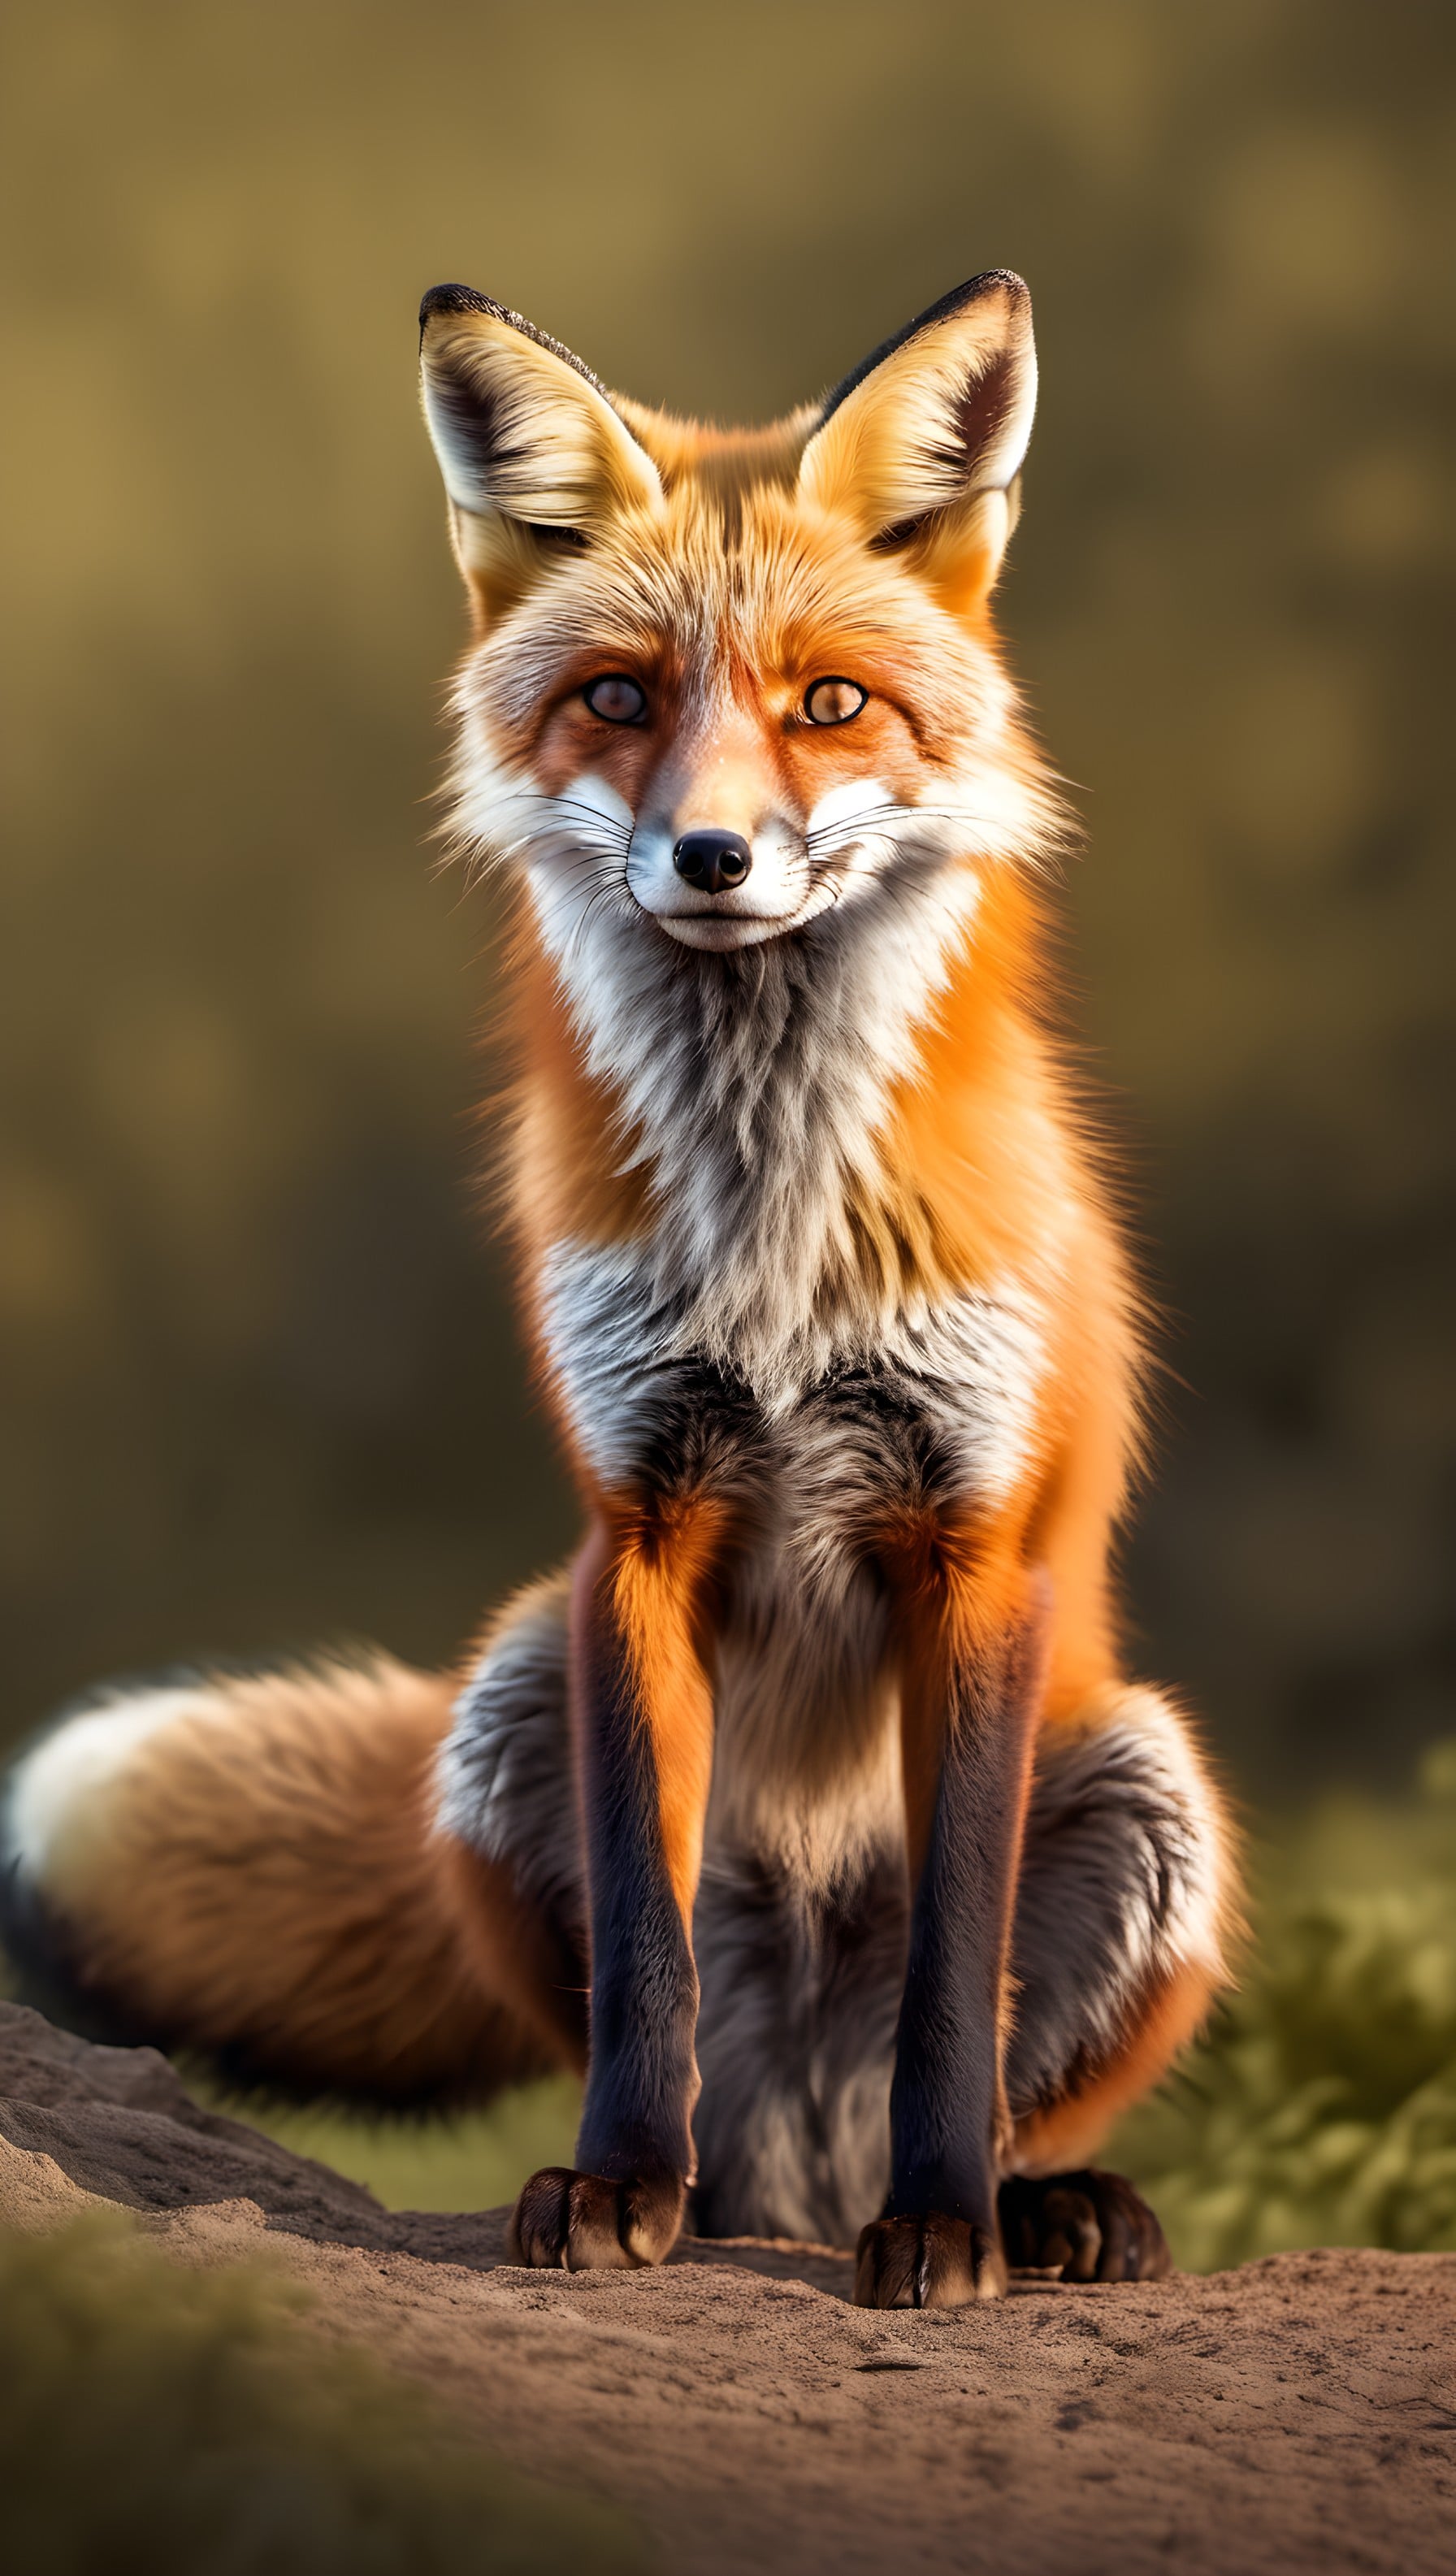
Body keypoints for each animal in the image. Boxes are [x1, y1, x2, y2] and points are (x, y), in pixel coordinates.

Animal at [1, 271, 1234, 2305]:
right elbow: (644, 1959)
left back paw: (1039, 2203)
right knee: (672, 2056)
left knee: (985, 2071)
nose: (711, 855)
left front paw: (941, 2227)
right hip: (509, 1695)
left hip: (1145, 1776)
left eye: (827, 703)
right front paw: (608, 2189)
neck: (774, 1238)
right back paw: (710, 2188)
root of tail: (793, 2138)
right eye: (617, 699)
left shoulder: (972, 1541)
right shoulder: (635, 1525)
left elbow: (951, 1977)